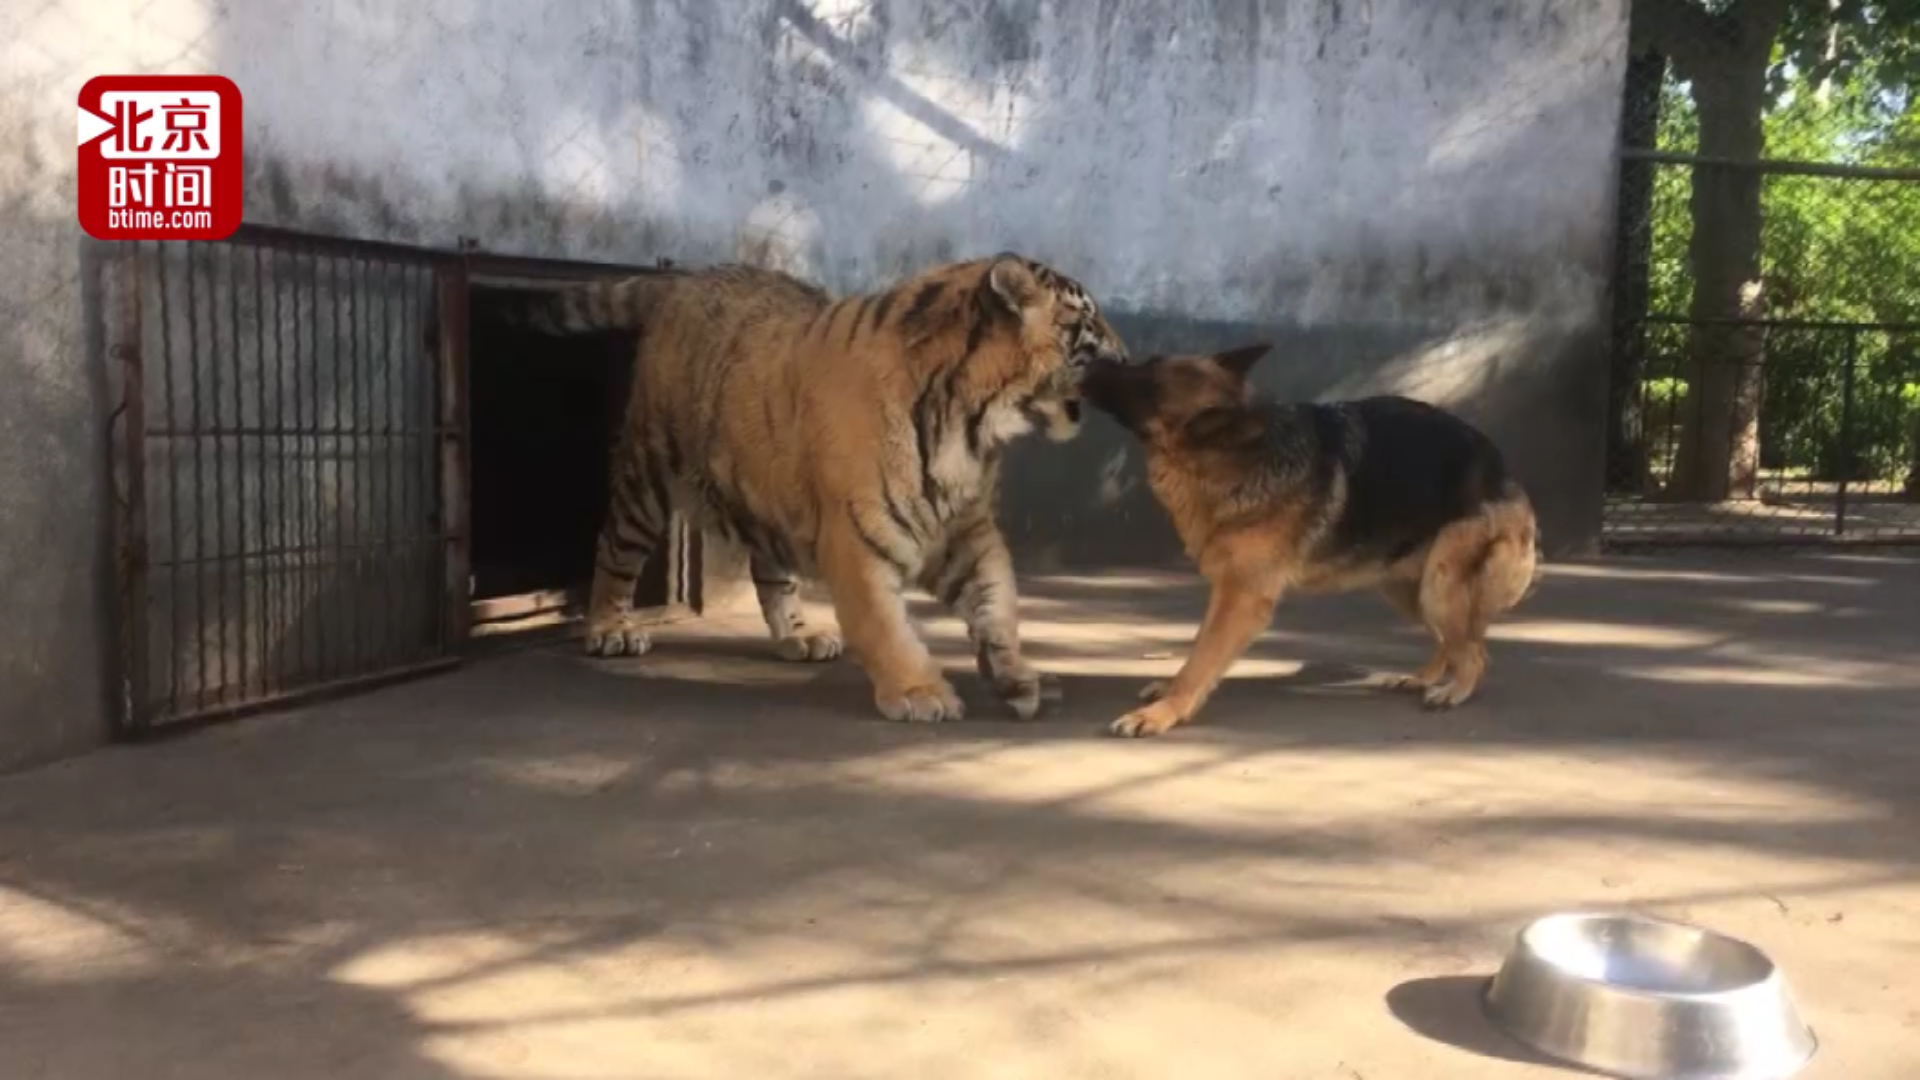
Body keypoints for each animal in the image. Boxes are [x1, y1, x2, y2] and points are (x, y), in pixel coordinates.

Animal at [506, 253, 1121, 722]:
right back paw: (610, 627)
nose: (1127, 353)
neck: (974, 424)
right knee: (616, 545)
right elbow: (885, 624)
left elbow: (997, 600)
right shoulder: (860, 536)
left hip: (767, 494)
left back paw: (797, 637)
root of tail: (688, 278)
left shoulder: (966, 532)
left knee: (770, 573)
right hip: (649, 469)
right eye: (1088, 318)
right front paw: (920, 693)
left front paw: (1016, 675)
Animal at [1090, 340, 1536, 734]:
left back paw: (1453, 691)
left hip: (1439, 585)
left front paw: (1163, 713)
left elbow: (1202, 658)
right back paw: (1425, 677)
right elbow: (1199, 648)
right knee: (1453, 641)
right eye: (1149, 362)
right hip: (1408, 590)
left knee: (1476, 653)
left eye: (1150, 386)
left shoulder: (1242, 598)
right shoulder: (1226, 590)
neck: (1237, 458)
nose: (1093, 361)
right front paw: (1168, 693)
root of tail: (1505, 472)